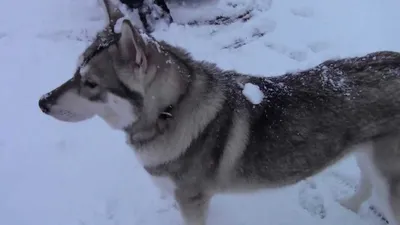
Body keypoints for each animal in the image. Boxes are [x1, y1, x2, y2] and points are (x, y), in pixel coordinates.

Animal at [39, 0, 400, 223]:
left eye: (91, 84)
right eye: (75, 73)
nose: (41, 102)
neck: (170, 111)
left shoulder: (193, 202)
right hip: (367, 156)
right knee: (367, 185)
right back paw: (347, 207)